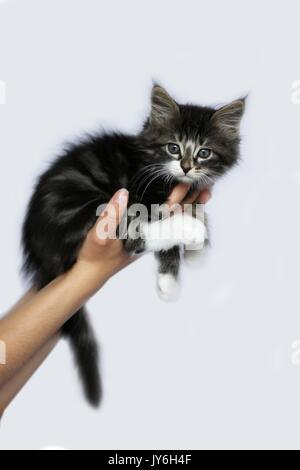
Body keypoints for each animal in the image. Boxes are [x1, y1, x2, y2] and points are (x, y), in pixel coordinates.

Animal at [22, 85, 245, 408]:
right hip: (94, 208)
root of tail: (36, 246)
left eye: (204, 152)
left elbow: (198, 208)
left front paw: (197, 252)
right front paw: (174, 274)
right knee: (134, 235)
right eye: (173, 148)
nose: (186, 168)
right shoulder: (145, 197)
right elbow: (166, 228)